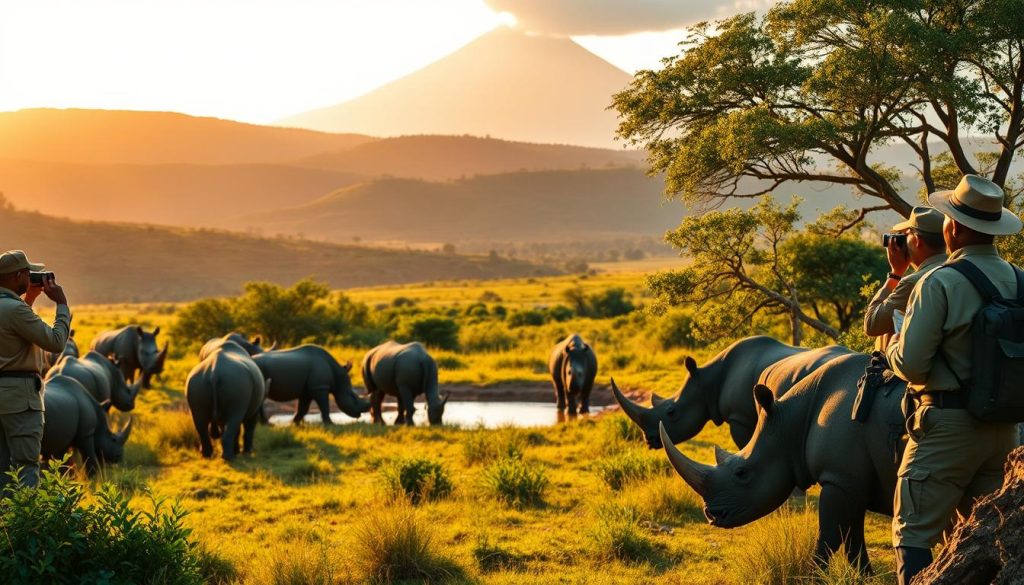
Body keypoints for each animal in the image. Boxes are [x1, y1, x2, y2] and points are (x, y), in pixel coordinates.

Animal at [660, 352, 905, 572]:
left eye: (741, 473)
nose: (711, 515)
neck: (792, 423)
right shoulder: (852, 482)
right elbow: (853, 537)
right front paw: (865, 575)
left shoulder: (839, 478)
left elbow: (829, 536)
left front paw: (813, 576)